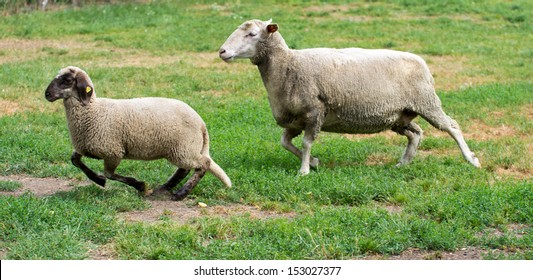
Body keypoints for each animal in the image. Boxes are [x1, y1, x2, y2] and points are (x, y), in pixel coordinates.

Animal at [44, 66, 231, 200]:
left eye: (67, 80)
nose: (47, 94)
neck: (92, 110)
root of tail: (201, 123)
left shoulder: (113, 151)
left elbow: (110, 174)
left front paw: (140, 186)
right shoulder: (86, 147)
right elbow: (75, 160)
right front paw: (98, 180)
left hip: (183, 149)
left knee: (203, 164)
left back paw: (181, 193)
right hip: (181, 149)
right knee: (185, 169)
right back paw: (165, 187)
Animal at [218, 19, 480, 175]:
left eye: (252, 34)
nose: (222, 51)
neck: (288, 65)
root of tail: (422, 62)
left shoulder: (314, 112)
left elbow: (306, 143)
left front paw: (304, 170)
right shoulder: (295, 119)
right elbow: (285, 142)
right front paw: (313, 163)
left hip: (427, 102)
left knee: (452, 126)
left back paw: (471, 159)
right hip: (398, 116)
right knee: (416, 134)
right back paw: (403, 163)